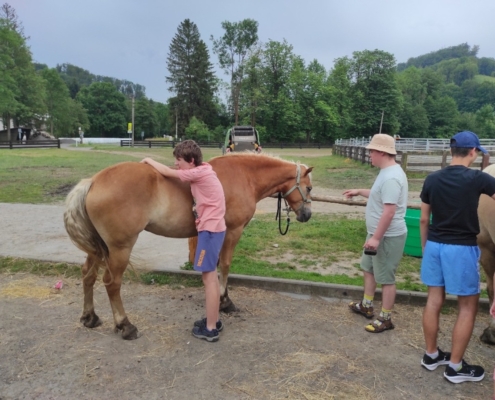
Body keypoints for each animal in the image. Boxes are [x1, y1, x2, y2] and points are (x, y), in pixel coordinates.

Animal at [64, 152, 314, 340]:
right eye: (310, 188)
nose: (307, 215)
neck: (245, 176)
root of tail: (93, 181)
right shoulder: (233, 231)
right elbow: (225, 265)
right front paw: (225, 301)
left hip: (99, 248)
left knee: (87, 275)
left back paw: (90, 317)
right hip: (119, 248)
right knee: (112, 283)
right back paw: (125, 325)